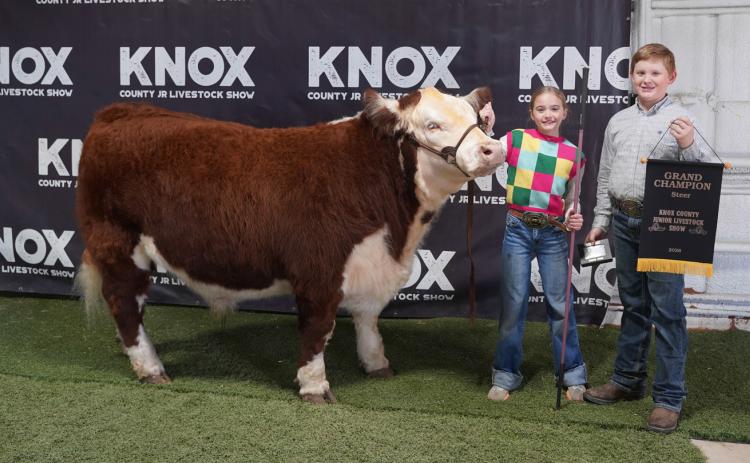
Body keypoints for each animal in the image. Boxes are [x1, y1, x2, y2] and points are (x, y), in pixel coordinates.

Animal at [75, 86, 504, 403]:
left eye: (477, 121)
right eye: (432, 124)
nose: (493, 149)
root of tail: (121, 111)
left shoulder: (371, 263)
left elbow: (368, 319)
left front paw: (376, 364)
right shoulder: (319, 271)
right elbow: (318, 330)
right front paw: (315, 387)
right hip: (117, 240)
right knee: (124, 302)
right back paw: (150, 367)